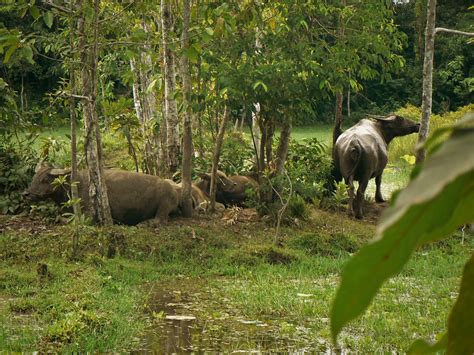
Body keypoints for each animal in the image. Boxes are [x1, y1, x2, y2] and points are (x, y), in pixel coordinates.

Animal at [22, 166, 178, 225]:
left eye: (44, 180)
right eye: (34, 178)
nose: (26, 194)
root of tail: (174, 189)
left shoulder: (89, 215)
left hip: (164, 206)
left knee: (160, 220)